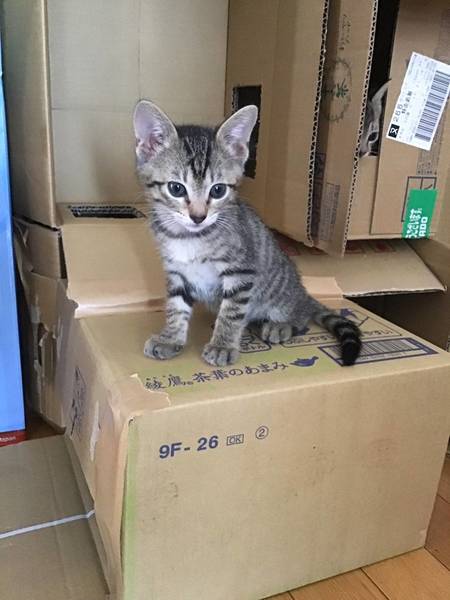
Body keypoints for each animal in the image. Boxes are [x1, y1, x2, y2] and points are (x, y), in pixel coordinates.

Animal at [133, 100, 361, 367]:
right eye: (176, 188)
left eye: (218, 190)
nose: (198, 217)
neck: (190, 238)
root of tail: (302, 292)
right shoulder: (176, 272)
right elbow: (176, 307)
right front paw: (170, 339)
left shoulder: (241, 271)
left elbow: (231, 312)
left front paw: (222, 345)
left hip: (280, 295)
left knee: (301, 315)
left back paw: (281, 325)